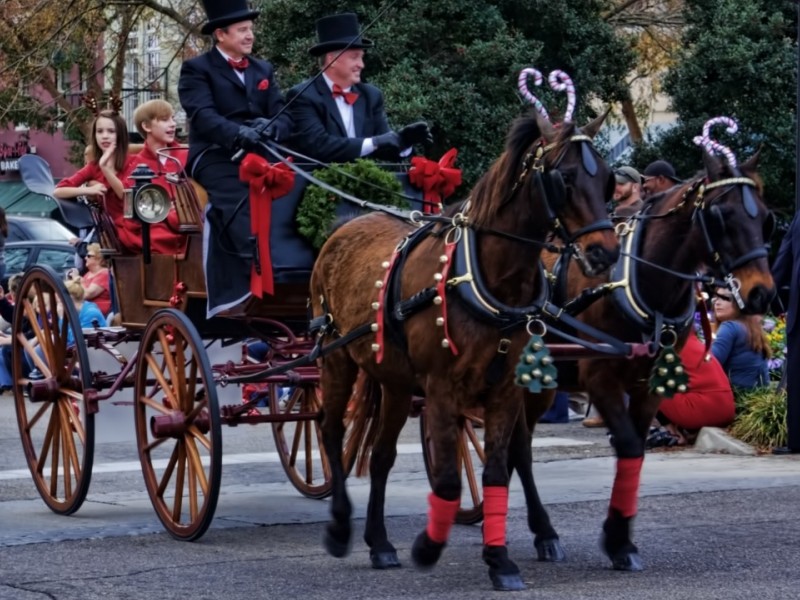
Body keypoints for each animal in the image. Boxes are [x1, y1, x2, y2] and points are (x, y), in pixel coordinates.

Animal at [310, 111, 620, 592]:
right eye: (565, 178)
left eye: (607, 179)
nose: (605, 252)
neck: (486, 278)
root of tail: (345, 227)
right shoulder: (441, 389)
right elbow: (449, 480)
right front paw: (428, 547)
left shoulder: (505, 391)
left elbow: (495, 470)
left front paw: (500, 560)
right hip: (336, 357)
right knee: (329, 432)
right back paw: (341, 526)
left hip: (396, 383)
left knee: (381, 456)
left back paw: (379, 542)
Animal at [510, 150, 780, 572]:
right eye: (722, 215)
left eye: (765, 218)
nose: (761, 293)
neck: (637, 281)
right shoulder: (600, 378)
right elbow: (629, 447)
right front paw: (617, 540)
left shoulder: (650, 384)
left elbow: (634, 450)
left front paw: (621, 539)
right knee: (519, 447)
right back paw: (543, 532)